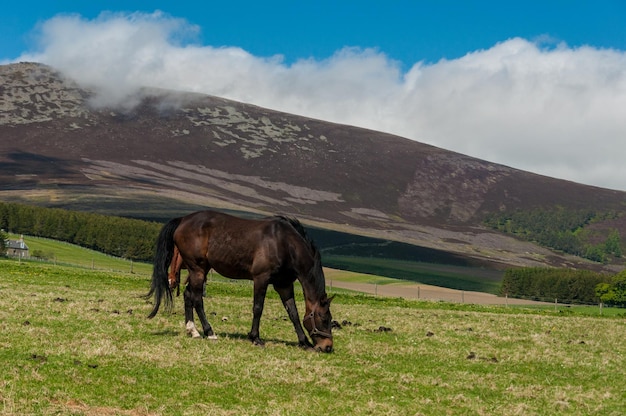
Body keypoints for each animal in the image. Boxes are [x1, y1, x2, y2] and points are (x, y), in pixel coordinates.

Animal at [146, 211, 332, 352]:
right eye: (324, 319)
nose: (328, 347)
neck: (284, 243)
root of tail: (183, 219)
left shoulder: (283, 285)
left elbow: (293, 313)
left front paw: (304, 342)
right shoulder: (261, 279)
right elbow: (258, 308)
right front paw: (255, 338)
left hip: (200, 270)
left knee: (188, 295)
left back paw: (193, 330)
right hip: (197, 269)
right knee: (197, 299)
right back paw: (209, 332)